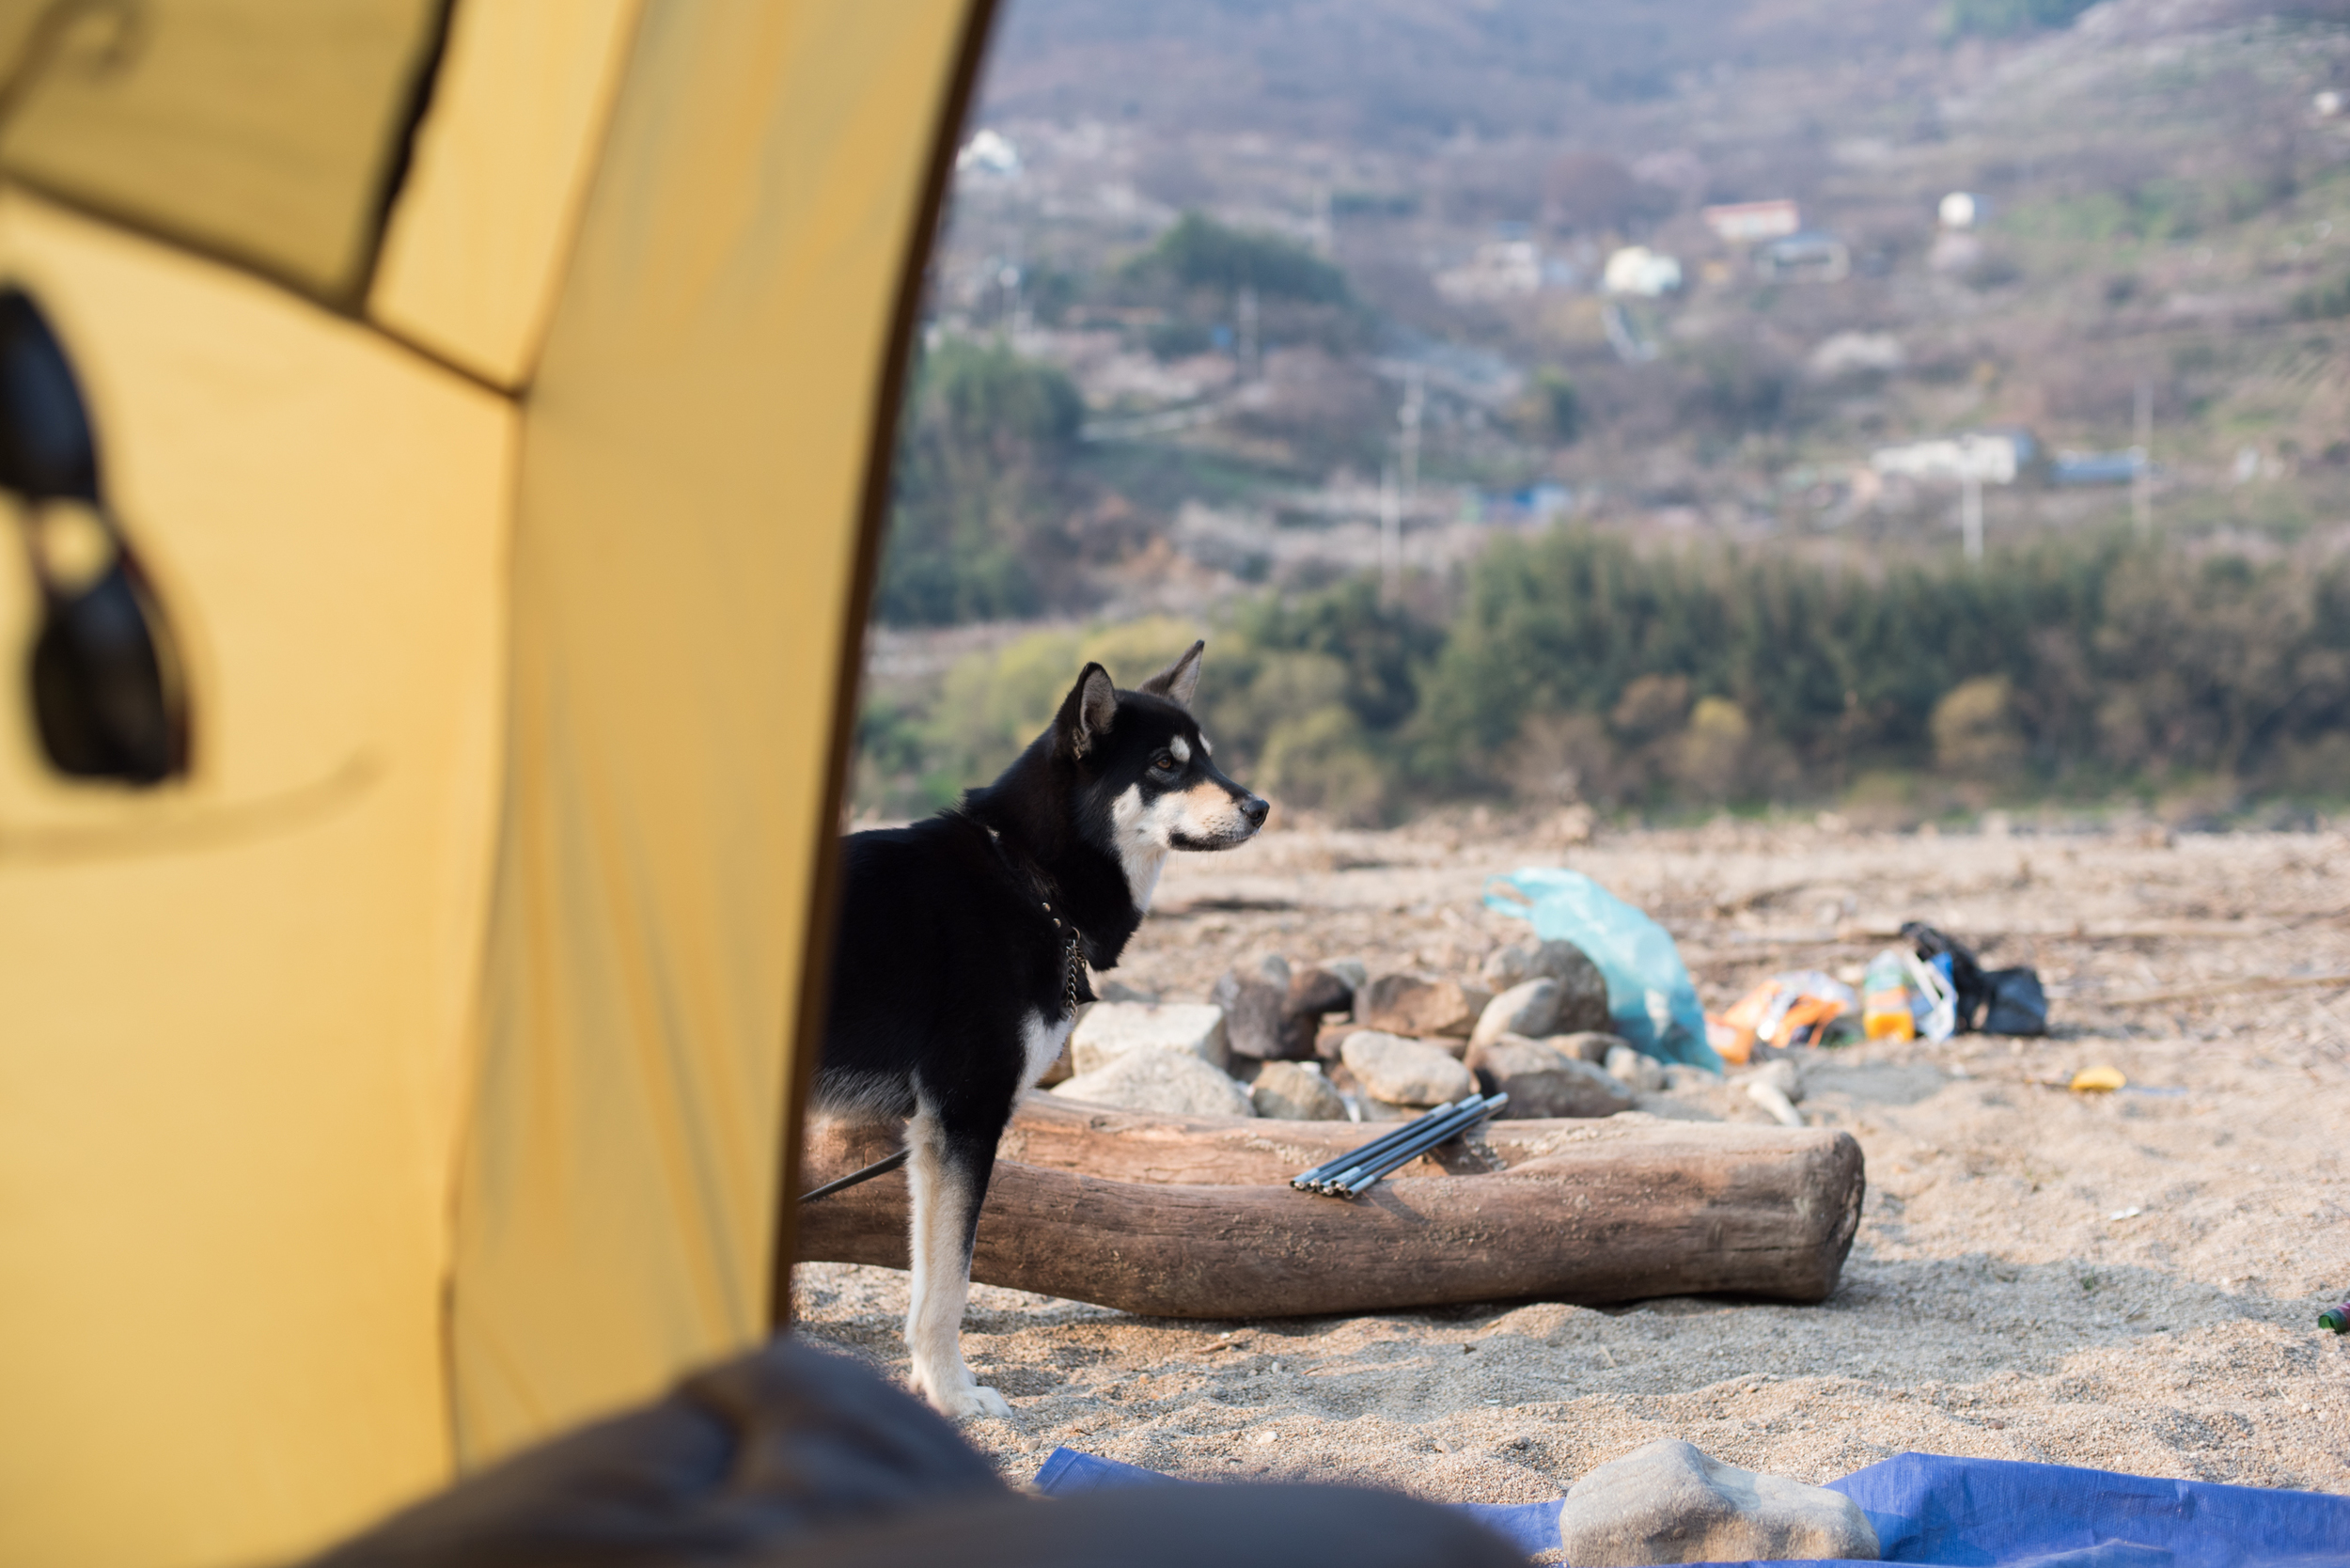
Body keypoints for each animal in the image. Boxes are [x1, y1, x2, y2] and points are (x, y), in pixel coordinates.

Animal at [822, 644, 1269, 1419]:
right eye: (1164, 764)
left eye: (1207, 758)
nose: (1261, 806)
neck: (1028, 878)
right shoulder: (965, 1121)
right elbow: (949, 1285)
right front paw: (955, 1396)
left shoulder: (929, 1137)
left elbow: (929, 1278)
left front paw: (933, 1387)